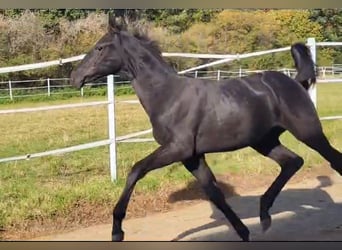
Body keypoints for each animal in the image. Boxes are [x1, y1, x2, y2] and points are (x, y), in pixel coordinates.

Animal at [69, 15, 342, 240]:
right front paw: (244, 232)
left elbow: (136, 170)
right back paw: (264, 215)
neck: (168, 95)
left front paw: (117, 230)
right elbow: (215, 194)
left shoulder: (176, 149)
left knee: (332, 160)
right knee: (293, 161)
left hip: (309, 132)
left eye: (100, 47)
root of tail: (295, 82)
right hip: (264, 141)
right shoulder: (191, 156)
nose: (75, 77)